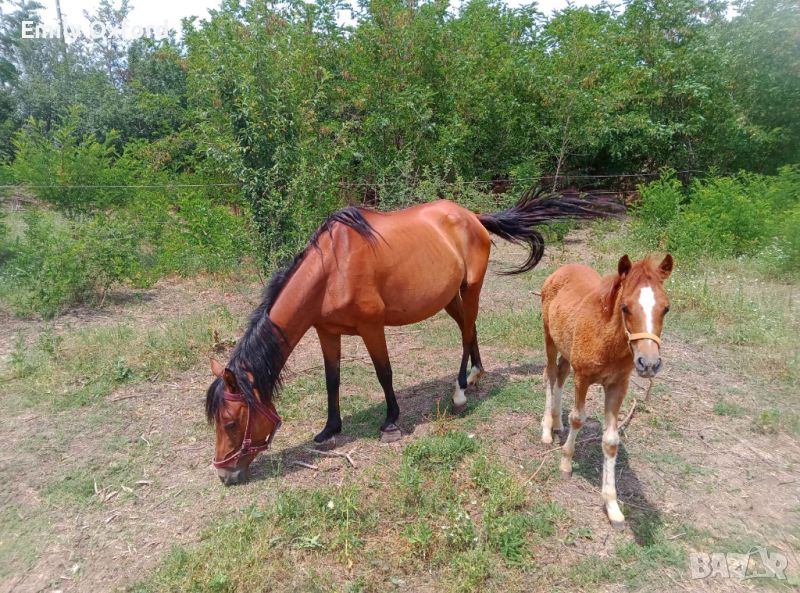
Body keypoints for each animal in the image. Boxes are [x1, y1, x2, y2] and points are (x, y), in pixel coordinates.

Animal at [206, 197, 612, 484]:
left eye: (230, 423)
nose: (225, 475)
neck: (333, 269)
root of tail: (472, 217)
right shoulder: (326, 332)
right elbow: (332, 380)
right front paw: (330, 428)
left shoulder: (372, 328)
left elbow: (384, 373)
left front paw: (391, 422)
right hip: (449, 296)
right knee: (469, 328)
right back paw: (476, 374)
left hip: (471, 287)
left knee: (467, 331)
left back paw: (460, 391)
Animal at [540, 254, 672, 528]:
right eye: (625, 307)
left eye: (666, 308)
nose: (649, 363)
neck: (608, 339)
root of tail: (562, 270)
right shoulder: (583, 377)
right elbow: (578, 418)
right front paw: (566, 463)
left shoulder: (618, 385)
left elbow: (611, 441)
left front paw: (613, 507)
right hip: (549, 337)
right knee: (550, 374)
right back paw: (547, 429)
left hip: (567, 348)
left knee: (561, 374)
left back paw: (557, 423)